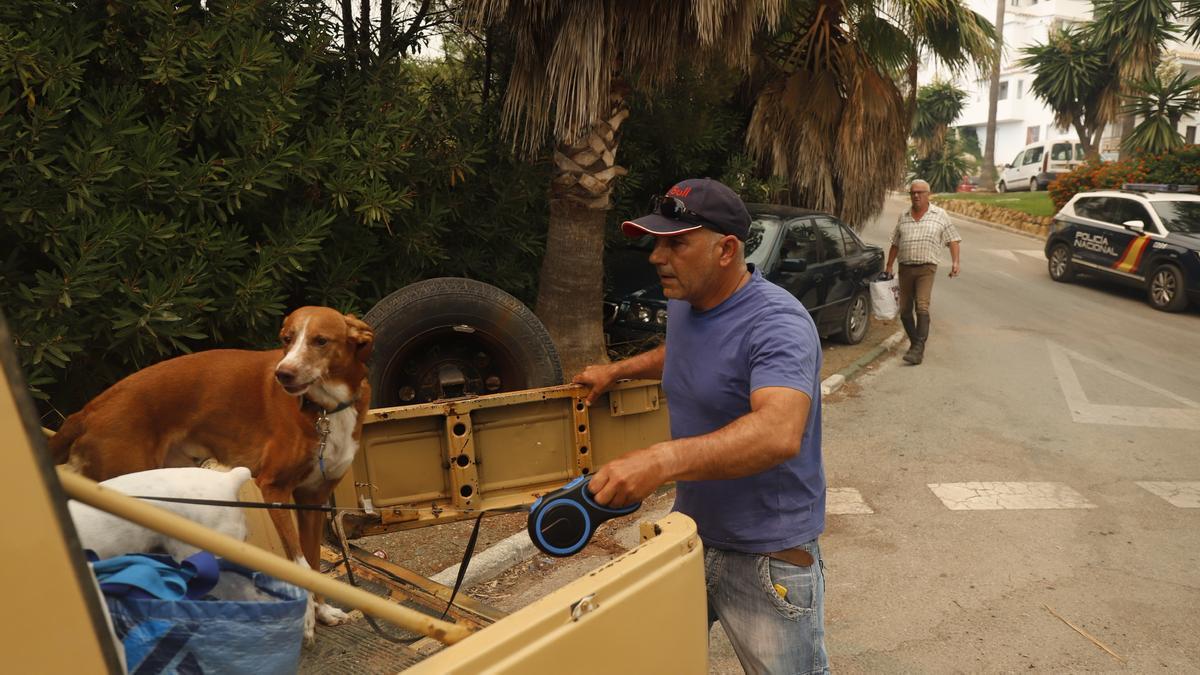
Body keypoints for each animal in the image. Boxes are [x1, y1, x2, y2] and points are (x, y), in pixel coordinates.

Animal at [49, 307, 372, 638]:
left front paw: (323, 612)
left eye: (320, 341)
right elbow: (300, 564)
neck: (325, 410)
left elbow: (314, 563)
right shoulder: (274, 488)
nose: (283, 373)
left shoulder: (313, 498)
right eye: (286, 339)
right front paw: (307, 620)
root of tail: (86, 411)